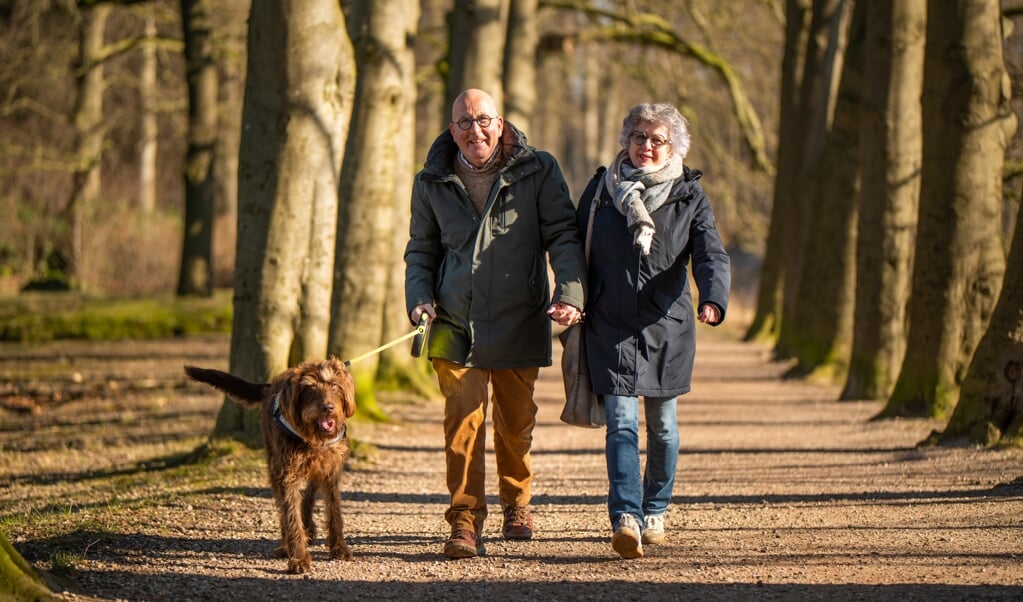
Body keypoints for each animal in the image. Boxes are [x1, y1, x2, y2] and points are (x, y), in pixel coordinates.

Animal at [184, 358, 356, 573]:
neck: (313, 438)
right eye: (309, 389)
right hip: (274, 465)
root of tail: (273, 383)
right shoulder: (287, 474)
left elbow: (334, 512)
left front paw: (339, 548)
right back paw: (286, 544)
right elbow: (290, 515)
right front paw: (298, 558)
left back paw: (308, 526)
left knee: (309, 492)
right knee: (284, 508)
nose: (327, 407)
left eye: (334, 385)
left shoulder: (330, 471)